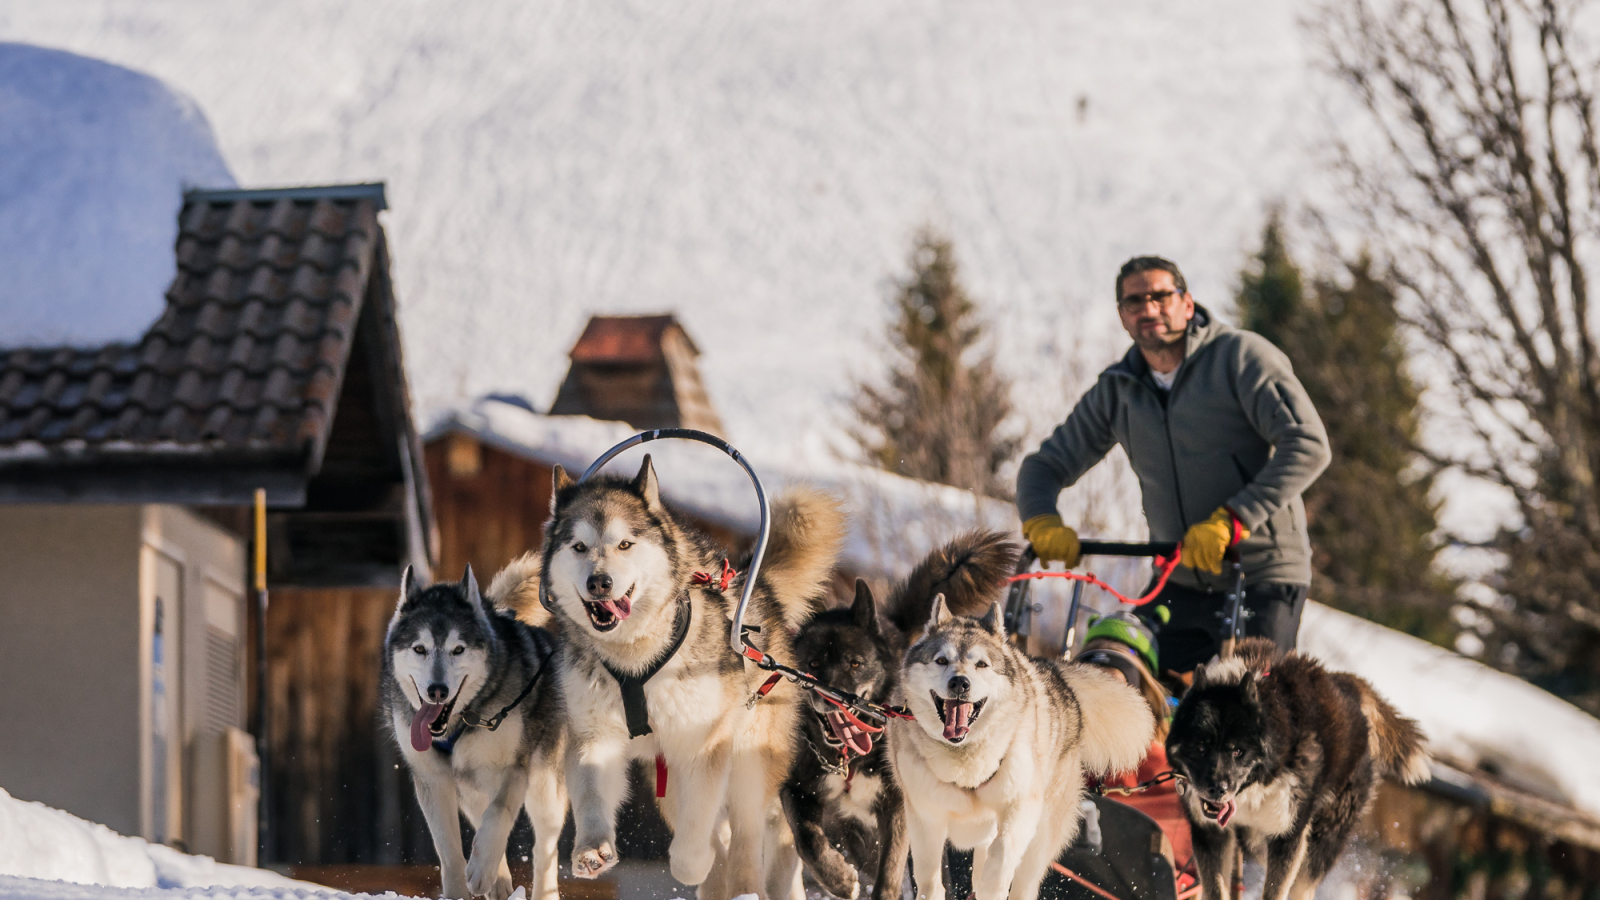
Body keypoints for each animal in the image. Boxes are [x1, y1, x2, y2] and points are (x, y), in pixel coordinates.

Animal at [380, 563, 569, 896]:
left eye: (458, 649)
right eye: (419, 649)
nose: (437, 690)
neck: (459, 722)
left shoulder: (514, 768)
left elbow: (499, 813)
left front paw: (482, 870)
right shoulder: (433, 779)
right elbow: (449, 851)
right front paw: (463, 887)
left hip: (543, 785)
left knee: (544, 847)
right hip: (468, 787)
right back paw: (500, 881)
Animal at [544, 454, 851, 896]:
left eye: (625, 544)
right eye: (579, 547)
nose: (598, 582)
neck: (635, 658)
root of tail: (756, 587)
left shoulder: (703, 745)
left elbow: (695, 841)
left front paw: (694, 862)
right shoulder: (593, 736)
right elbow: (591, 794)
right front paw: (592, 849)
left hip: (748, 756)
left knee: (745, 836)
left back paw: (743, 885)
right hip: (668, 774)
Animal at [780, 528, 1017, 896]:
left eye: (855, 663)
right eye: (814, 664)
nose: (835, 698)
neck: (851, 759)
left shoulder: (899, 808)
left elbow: (890, 870)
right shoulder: (796, 789)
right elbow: (808, 840)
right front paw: (839, 879)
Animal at [889, 595, 1152, 896]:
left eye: (982, 664)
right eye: (941, 660)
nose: (959, 683)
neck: (964, 760)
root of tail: (1056, 672)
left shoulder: (1021, 806)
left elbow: (1002, 855)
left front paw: (993, 884)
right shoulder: (925, 817)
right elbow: (930, 881)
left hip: (1040, 837)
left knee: (1022, 880)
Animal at [1171, 634, 1433, 896]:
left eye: (1238, 751)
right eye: (1200, 747)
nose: (1217, 789)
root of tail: (1344, 685)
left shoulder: (1288, 837)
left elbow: (1276, 890)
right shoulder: (1211, 834)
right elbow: (1216, 888)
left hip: (1319, 838)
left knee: (1303, 884)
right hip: (1257, 841)